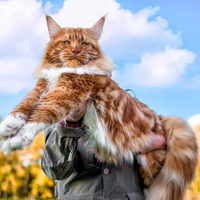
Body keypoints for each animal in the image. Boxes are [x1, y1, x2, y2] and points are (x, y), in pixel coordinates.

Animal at [0, 14, 198, 200]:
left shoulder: (68, 91)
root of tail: (160, 117)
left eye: (84, 44)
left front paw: (16, 139)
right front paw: (8, 125)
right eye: (66, 42)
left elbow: (42, 113)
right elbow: (25, 104)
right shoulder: (43, 86)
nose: (75, 50)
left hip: (150, 165)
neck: (64, 71)